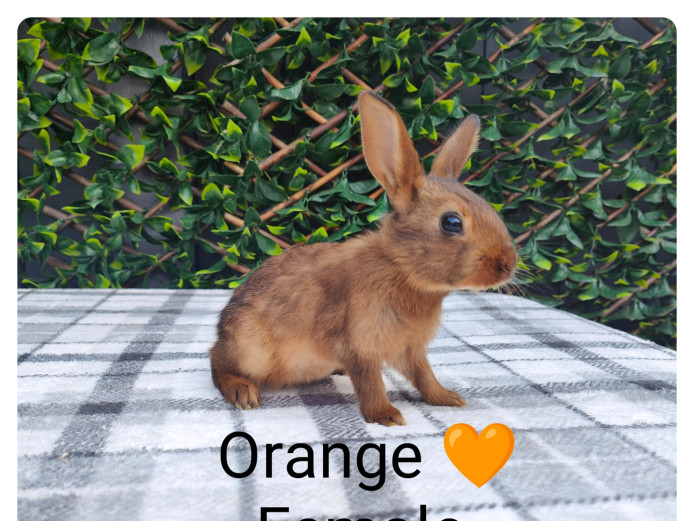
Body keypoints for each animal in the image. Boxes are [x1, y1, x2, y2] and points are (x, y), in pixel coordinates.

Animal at [209, 91, 518, 426]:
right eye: (451, 222)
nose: (508, 264)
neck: (401, 270)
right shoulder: (361, 344)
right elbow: (371, 383)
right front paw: (387, 416)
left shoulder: (411, 348)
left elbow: (424, 376)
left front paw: (447, 398)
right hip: (251, 348)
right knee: (217, 362)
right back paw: (243, 392)